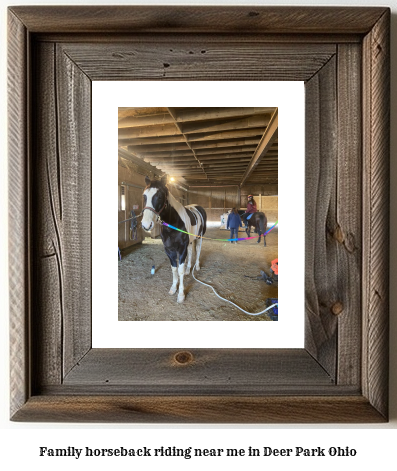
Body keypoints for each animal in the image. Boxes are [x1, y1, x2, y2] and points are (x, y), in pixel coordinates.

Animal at [141, 175, 206, 304]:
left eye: (160, 196)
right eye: (144, 195)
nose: (146, 225)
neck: (174, 223)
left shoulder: (181, 249)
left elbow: (180, 270)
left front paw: (181, 295)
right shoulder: (169, 249)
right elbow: (174, 269)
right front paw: (173, 288)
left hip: (199, 238)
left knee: (198, 250)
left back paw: (196, 267)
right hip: (190, 242)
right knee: (190, 253)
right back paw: (188, 270)